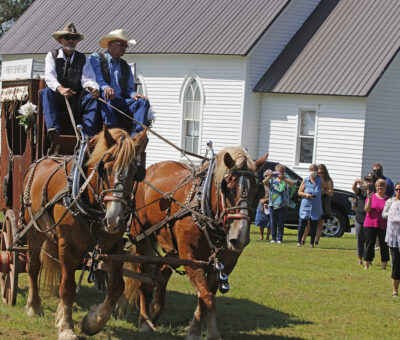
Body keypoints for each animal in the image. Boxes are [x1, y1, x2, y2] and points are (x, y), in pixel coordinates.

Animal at [22, 126, 147, 338]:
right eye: (105, 169)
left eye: (134, 173)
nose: (114, 220)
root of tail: (41, 160)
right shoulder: (67, 246)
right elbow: (67, 287)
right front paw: (66, 327)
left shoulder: (114, 247)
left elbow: (117, 287)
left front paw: (93, 321)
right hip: (34, 231)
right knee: (33, 266)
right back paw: (33, 306)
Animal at [120, 147, 268, 340]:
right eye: (227, 188)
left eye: (257, 190)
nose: (240, 236)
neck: (203, 208)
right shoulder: (190, 258)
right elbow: (208, 298)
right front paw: (211, 334)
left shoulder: (224, 264)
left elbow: (205, 296)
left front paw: (194, 331)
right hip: (143, 238)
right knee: (144, 280)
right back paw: (145, 322)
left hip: (174, 250)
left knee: (162, 273)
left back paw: (156, 311)